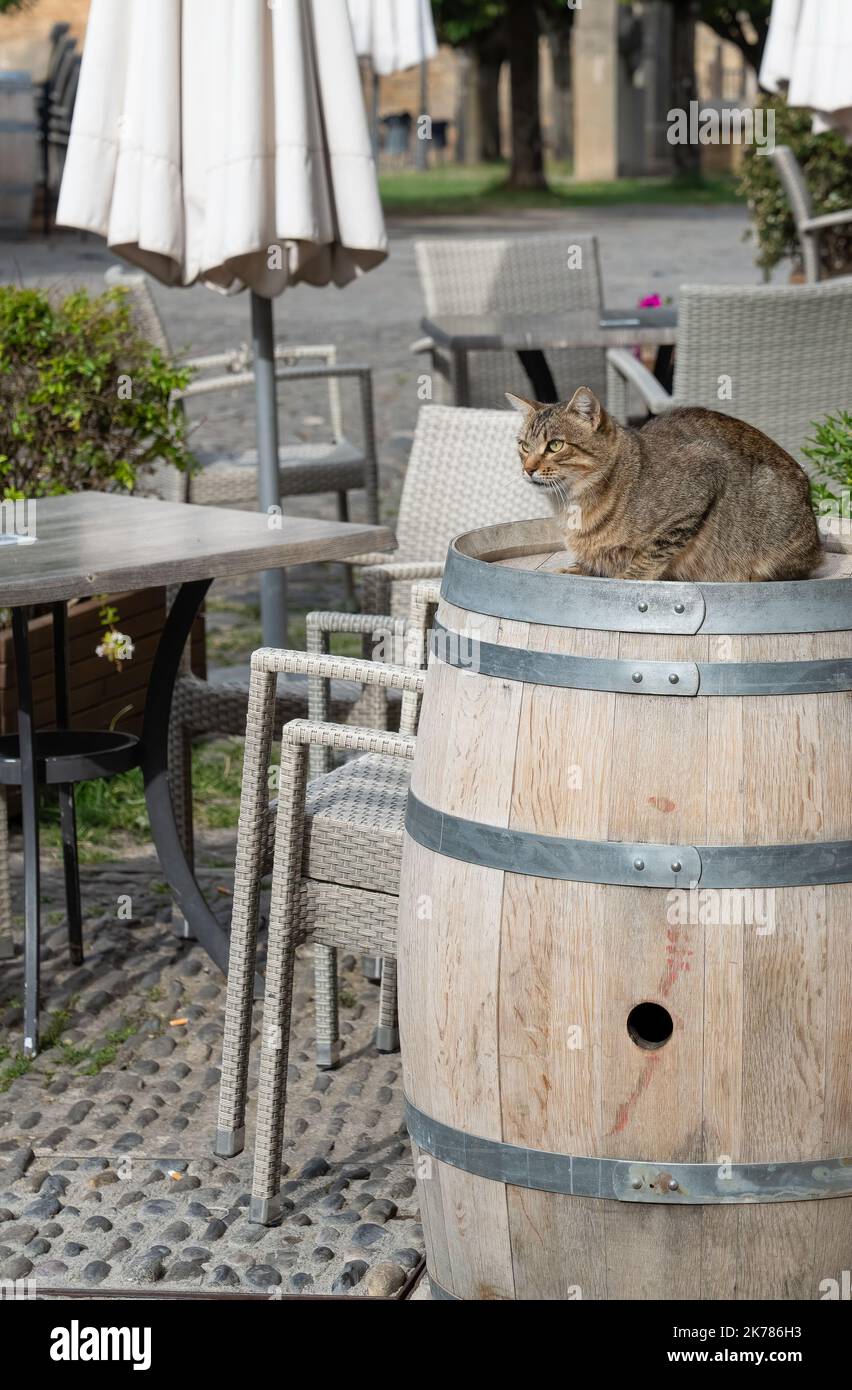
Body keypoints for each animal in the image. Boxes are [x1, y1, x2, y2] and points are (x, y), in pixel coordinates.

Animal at [508, 386, 822, 581]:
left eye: (555, 445)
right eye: (524, 446)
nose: (528, 468)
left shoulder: (705, 473)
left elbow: (652, 553)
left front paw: (628, 578)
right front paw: (572, 570)